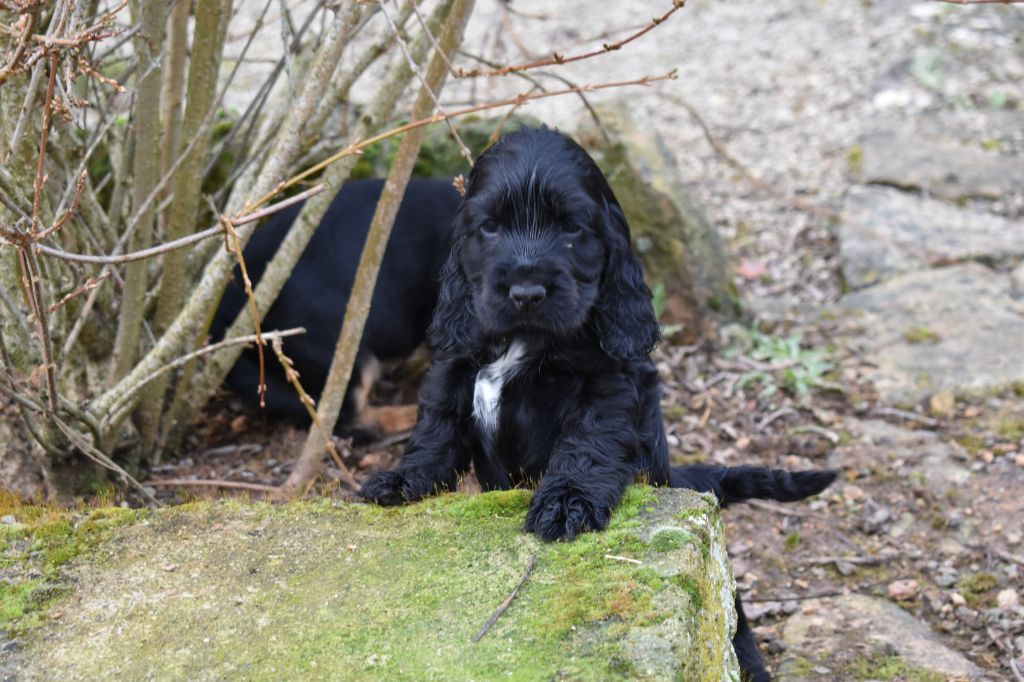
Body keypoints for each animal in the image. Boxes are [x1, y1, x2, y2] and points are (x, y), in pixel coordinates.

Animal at [364, 129, 835, 679]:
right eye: (490, 227)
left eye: (571, 227)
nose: (526, 291)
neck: (525, 339)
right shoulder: (457, 362)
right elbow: (436, 424)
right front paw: (404, 478)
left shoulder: (608, 381)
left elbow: (588, 441)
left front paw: (568, 502)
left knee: (733, 623)